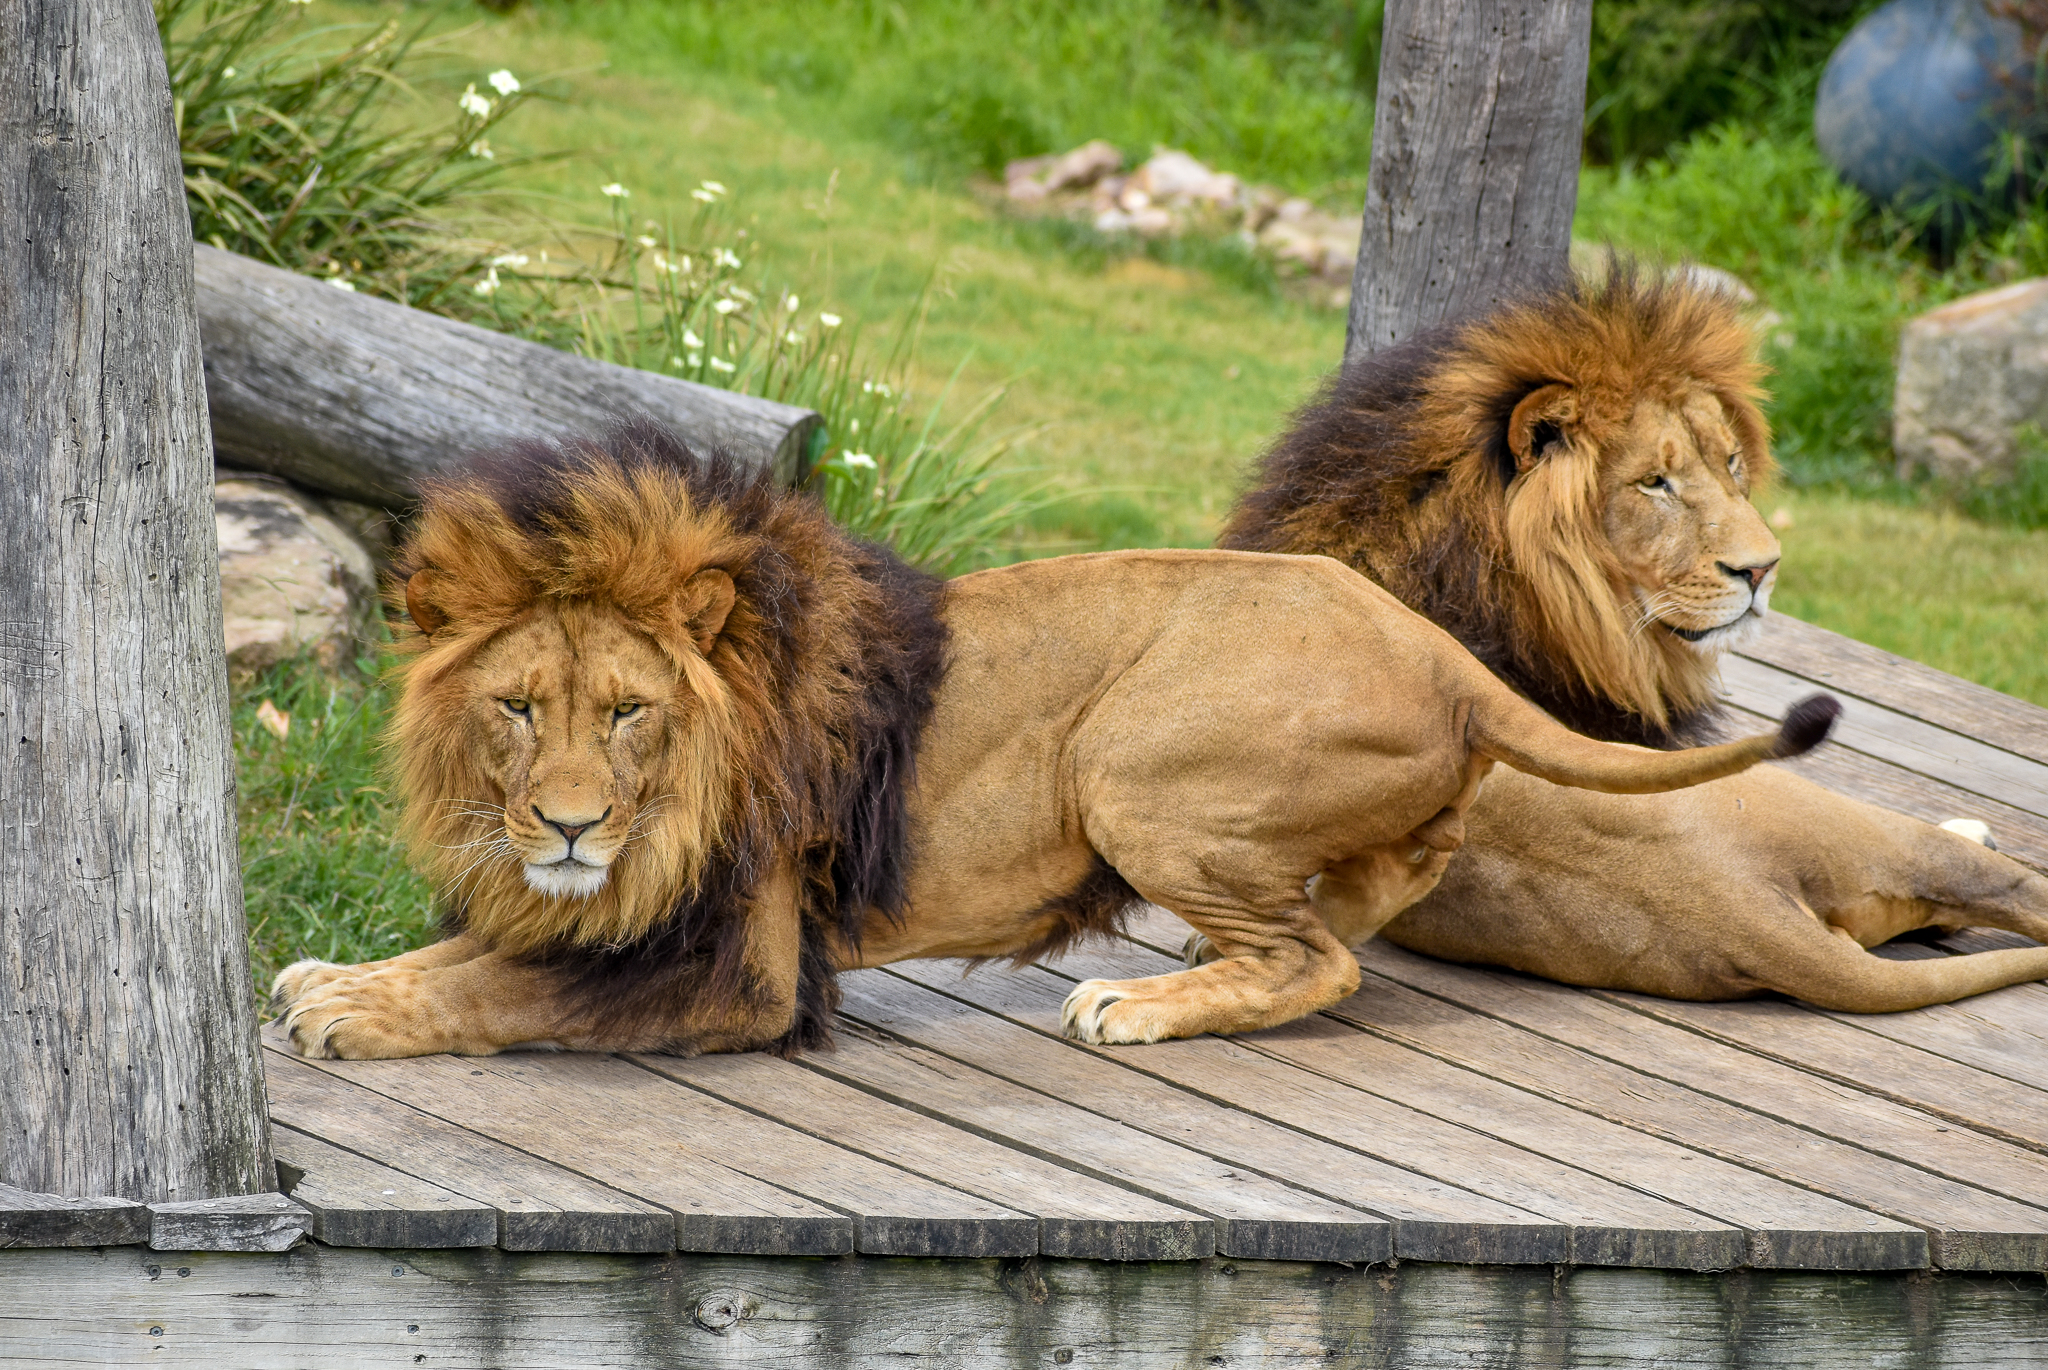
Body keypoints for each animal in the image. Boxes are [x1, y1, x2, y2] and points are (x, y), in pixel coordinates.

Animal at [271, 422, 1836, 1058]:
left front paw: (362, 1011)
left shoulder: (743, 970)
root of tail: (1428, 642)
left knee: (1318, 960)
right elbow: (478, 952)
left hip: (1130, 760)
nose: (569, 822)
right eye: (517, 706)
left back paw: (1140, 1001)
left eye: (626, 711)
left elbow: (508, 989)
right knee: (1373, 888)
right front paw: (341, 974)